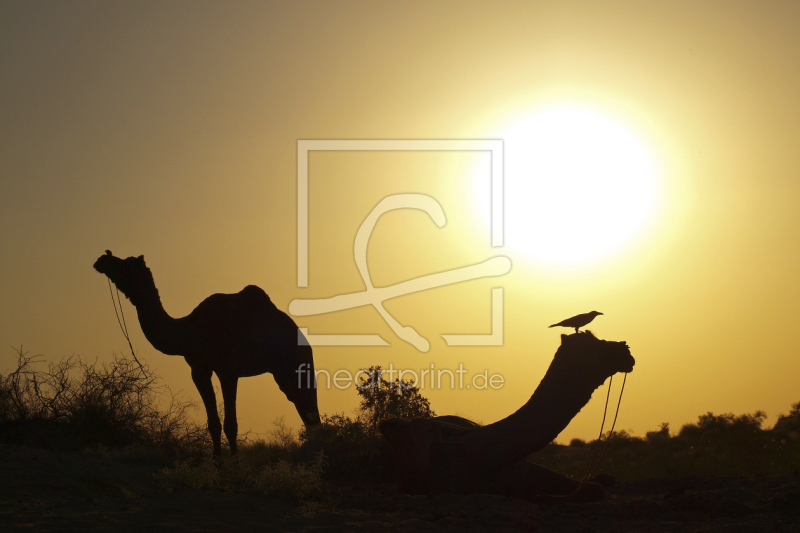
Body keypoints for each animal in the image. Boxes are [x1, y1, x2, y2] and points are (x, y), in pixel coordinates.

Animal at [94, 251, 318, 456]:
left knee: (308, 403)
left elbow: (231, 424)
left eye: (127, 264)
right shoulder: (199, 369)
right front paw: (217, 466)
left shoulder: (228, 371)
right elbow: (213, 424)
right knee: (301, 404)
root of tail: (302, 337)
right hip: (281, 373)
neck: (190, 330)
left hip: (298, 362)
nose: (102, 260)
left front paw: (234, 466)